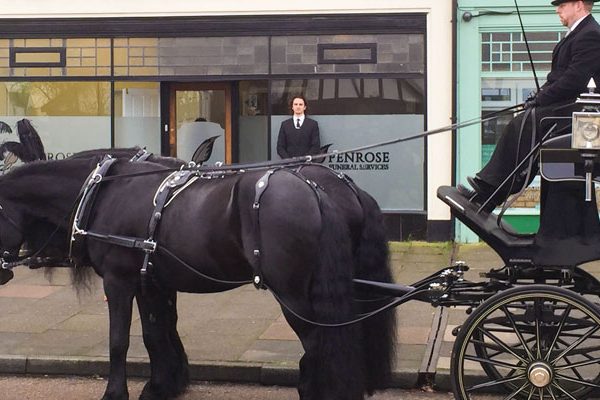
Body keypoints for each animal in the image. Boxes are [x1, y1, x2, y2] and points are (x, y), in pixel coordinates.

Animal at [0, 156, 394, 400]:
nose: (2, 274)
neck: (105, 191)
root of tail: (318, 189)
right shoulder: (152, 282)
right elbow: (155, 333)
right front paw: (161, 386)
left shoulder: (119, 280)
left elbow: (119, 341)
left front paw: (116, 392)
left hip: (293, 295)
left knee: (316, 346)